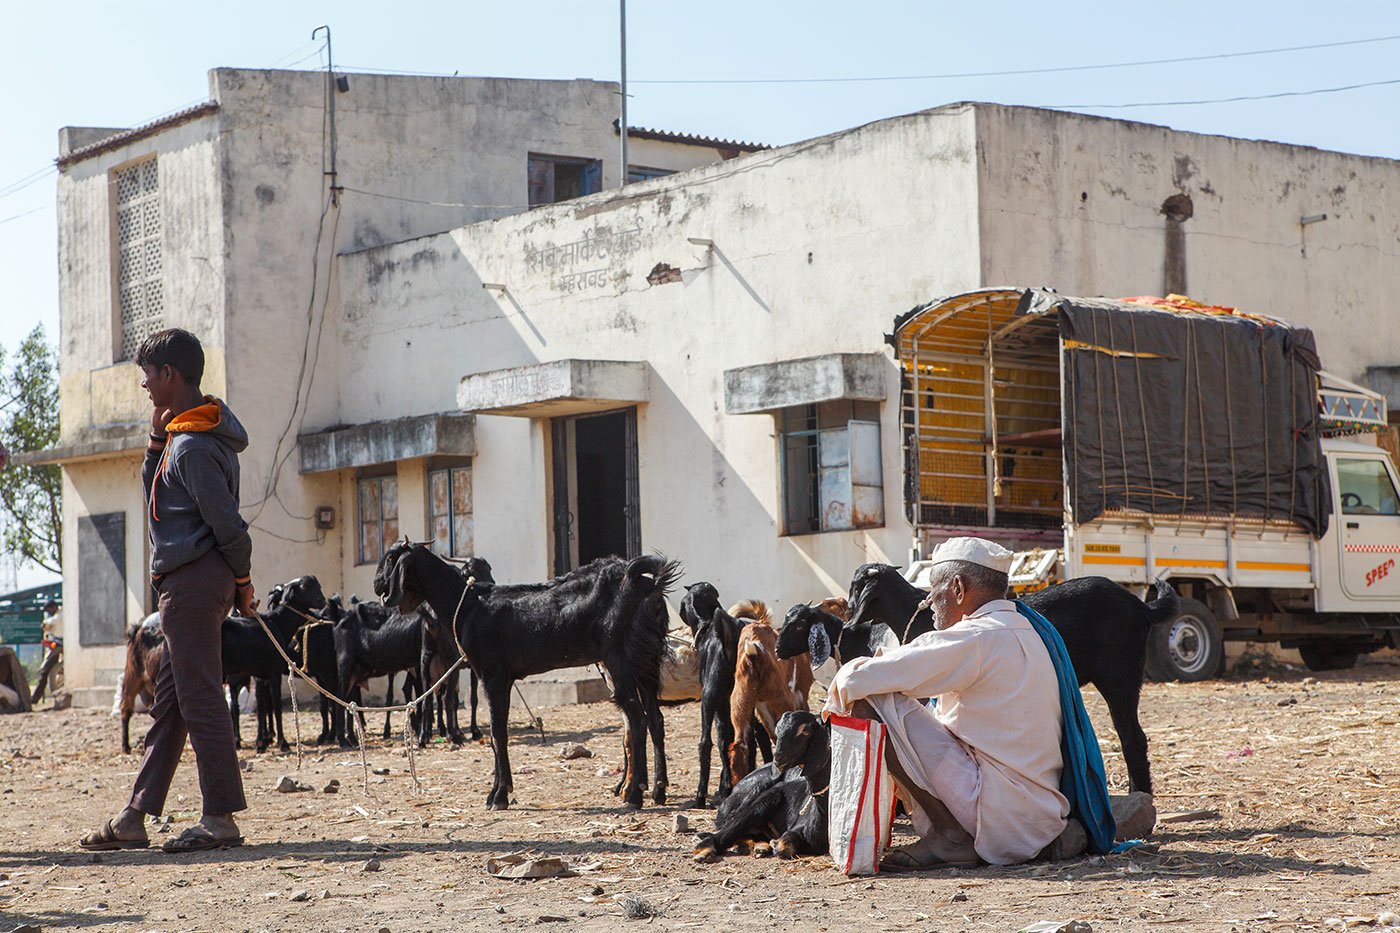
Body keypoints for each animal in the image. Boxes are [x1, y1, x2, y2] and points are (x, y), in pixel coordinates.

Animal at [372, 537, 677, 806]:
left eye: (391, 557)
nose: (376, 585)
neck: (468, 603)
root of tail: (648, 585)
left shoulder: (494, 675)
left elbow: (497, 733)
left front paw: (498, 796)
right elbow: (497, 734)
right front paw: (500, 791)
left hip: (621, 661)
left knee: (637, 719)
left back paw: (635, 794)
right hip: (645, 662)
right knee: (655, 719)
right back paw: (658, 791)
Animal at [691, 708, 828, 862]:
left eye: (806, 730)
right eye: (778, 729)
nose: (778, 757)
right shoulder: (797, 826)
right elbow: (785, 844)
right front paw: (776, 844)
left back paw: (760, 847)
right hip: (759, 801)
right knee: (728, 828)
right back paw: (705, 852)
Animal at [722, 599, 812, 778]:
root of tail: (754, 653)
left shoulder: (762, 709)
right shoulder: (799, 696)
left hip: (739, 702)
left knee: (740, 746)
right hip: (782, 701)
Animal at [823, 560, 1176, 790]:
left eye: (856, 586)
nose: (847, 616)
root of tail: (1142, 608)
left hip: (1120, 677)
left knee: (1132, 737)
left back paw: (1139, 794)